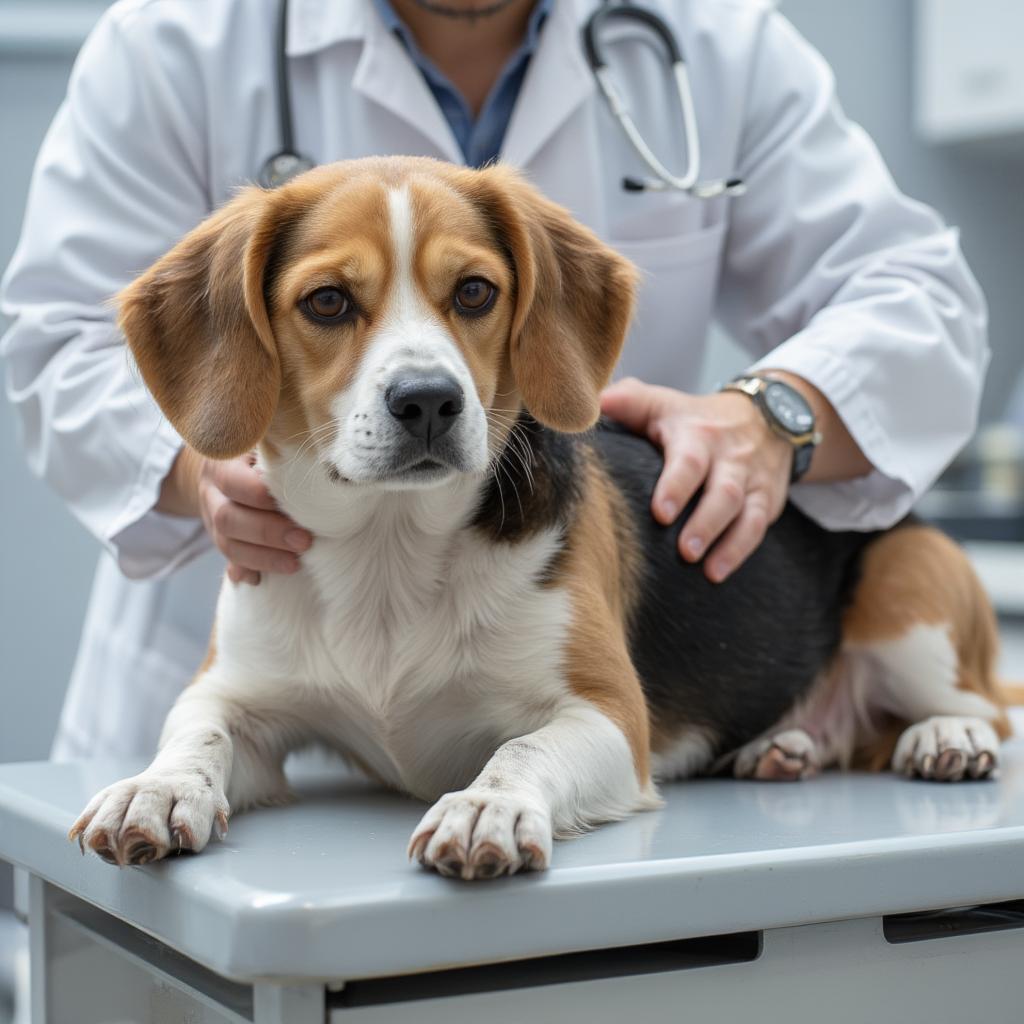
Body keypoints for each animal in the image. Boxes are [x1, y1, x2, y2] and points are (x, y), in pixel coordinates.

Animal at [70, 157, 1007, 880]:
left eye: (475, 291)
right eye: (327, 302)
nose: (428, 400)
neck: (387, 545)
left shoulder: (607, 716)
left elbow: (520, 750)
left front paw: (484, 807)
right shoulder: (235, 696)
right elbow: (195, 735)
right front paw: (153, 788)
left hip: (910, 593)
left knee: (996, 708)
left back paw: (947, 735)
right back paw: (784, 748)